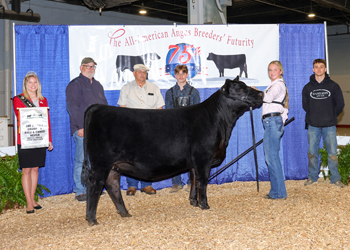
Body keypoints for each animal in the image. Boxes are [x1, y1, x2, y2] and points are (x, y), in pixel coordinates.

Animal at [82, 76, 262, 225]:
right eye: (238, 89)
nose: (261, 94)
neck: (220, 123)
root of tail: (98, 107)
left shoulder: (194, 162)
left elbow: (193, 180)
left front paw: (193, 202)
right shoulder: (203, 158)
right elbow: (202, 181)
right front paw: (204, 205)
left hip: (113, 165)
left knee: (112, 185)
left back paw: (125, 213)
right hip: (101, 163)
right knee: (95, 184)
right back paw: (92, 219)